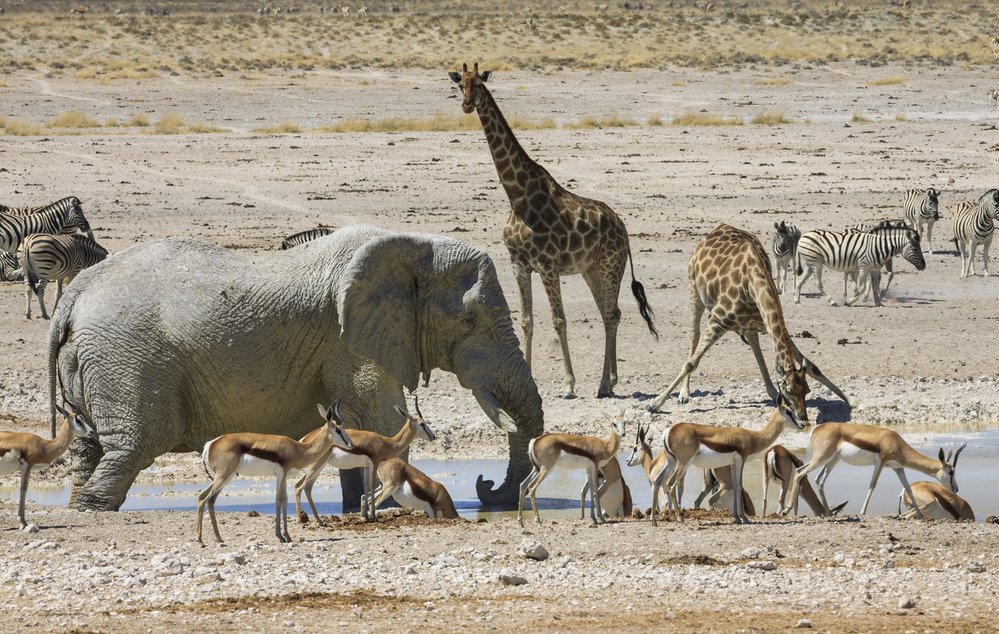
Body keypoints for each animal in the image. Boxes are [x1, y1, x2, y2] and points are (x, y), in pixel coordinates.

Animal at [49, 225, 544, 512]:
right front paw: (384, 506)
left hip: (95, 359)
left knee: (93, 445)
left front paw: (356, 505)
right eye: (469, 322)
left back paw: (78, 503)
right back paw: (93, 507)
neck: (413, 244)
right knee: (136, 442)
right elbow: (382, 418)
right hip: (127, 359)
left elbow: (354, 422)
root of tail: (75, 293)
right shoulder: (351, 338)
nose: (487, 488)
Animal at [452, 60, 656, 396]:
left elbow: (558, 320)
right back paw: (611, 380)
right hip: (591, 269)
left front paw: (569, 384)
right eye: (460, 84)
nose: (467, 104)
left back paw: (603, 383)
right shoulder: (519, 264)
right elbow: (526, 321)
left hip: (611, 265)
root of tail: (624, 229)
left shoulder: (547, 265)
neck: (519, 197)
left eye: (479, 84)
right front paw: (528, 378)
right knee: (609, 313)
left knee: (610, 314)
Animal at [648, 225, 852, 412]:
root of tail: (716, 229)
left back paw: (771, 392)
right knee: (694, 335)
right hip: (694, 290)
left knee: (754, 343)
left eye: (807, 391)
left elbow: (811, 365)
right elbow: (691, 363)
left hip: (747, 323)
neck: (752, 285)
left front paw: (851, 400)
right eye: (789, 392)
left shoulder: (766, 322)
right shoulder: (717, 321)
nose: (802, 418)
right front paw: (655, 404)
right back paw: (684, 394)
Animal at [796, 226, 928, 308]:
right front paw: (850, 302)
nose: (924, 265)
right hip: (816, 263)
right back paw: (832, 301)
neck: (880, 247)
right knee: (818, 283)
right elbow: (863, 287)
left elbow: (874, 286)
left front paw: (878, 303)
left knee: (799, 280)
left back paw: (797, 301)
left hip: (810, 264)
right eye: (915, 249)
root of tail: (803, 236)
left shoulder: (875, 269)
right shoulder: (864, 267)